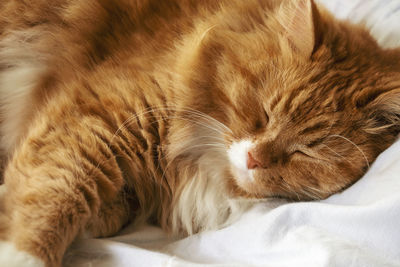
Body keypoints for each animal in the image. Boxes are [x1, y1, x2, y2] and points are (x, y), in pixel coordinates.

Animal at [0, 0, 400, 266]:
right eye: (264, 113)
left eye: (307, 149)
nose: (254, 158)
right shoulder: (97, 119)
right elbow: (59, 192)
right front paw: (23, 254)